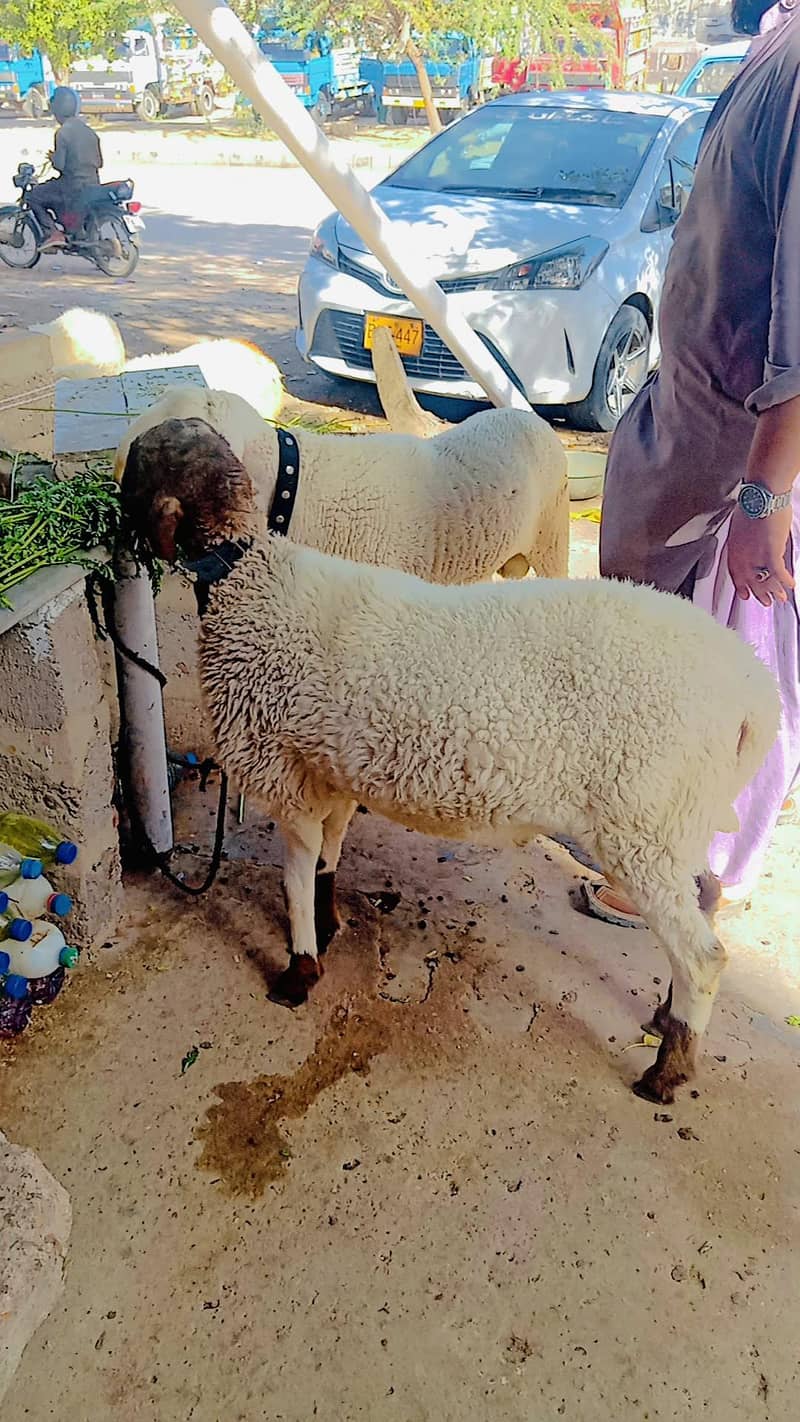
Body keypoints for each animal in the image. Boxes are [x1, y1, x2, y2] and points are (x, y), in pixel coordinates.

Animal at [120, 417, 780, 1104]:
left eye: (135, 470)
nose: (112, 526)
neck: (247, 581)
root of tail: (754, 697)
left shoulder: (285, 768)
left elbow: (295, 877)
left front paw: (299, 972)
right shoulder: (332, 768)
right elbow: (328, 856)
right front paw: (329, 925)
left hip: (643, 816)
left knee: (703, 954)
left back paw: (667, 1071)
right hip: (679, 814)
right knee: (704, 902)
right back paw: (662, 1017)